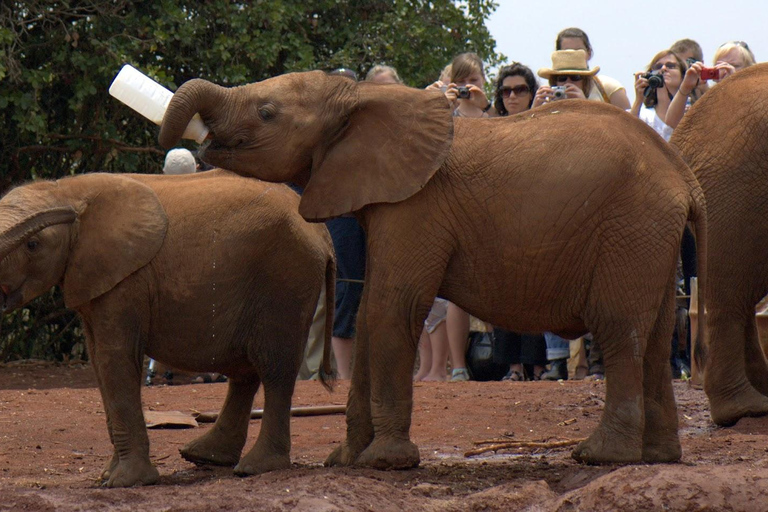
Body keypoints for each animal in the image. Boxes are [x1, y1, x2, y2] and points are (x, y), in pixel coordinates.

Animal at [0, 170, 336, 486]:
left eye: (33, 245)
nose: (68, 213)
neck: (63, 189)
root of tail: (323, 234)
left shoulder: (127, 280)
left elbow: (114, 360)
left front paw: (126, 482)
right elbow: (99, 363)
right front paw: (107, 476)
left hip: (287, 277)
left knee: (274, 368)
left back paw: (256, 467)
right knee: (246, 371)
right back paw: (206, 456)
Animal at [159, 71, 704, 468]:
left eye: (267, 112)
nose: (192, 146)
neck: (361, 97)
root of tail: (683, 174)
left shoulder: (415, 206)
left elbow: (392, 307)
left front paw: (384, 462)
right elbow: (370, 313)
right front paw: (346, 460)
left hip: (631, 225)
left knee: (618, 328)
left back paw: (600, 456)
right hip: (650, 236)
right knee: (656, 335)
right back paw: (659, 456)